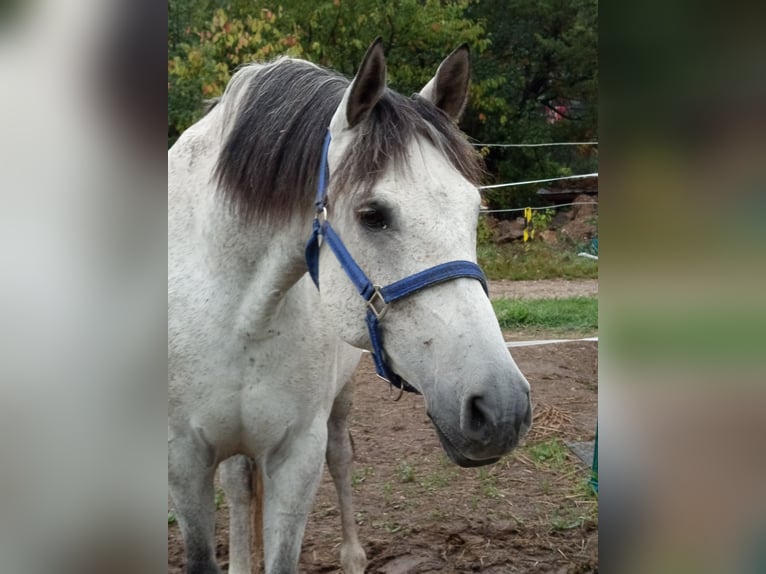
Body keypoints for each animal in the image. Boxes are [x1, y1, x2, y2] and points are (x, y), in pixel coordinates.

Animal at [168, 38, 532, 574]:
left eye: (474, 209)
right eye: (372, 215)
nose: (501, 408)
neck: (236, 311)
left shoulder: (298, 455)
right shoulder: (184, 460)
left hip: (338, 407)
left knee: (341, 459)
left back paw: (354, 556)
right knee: (238, 485)